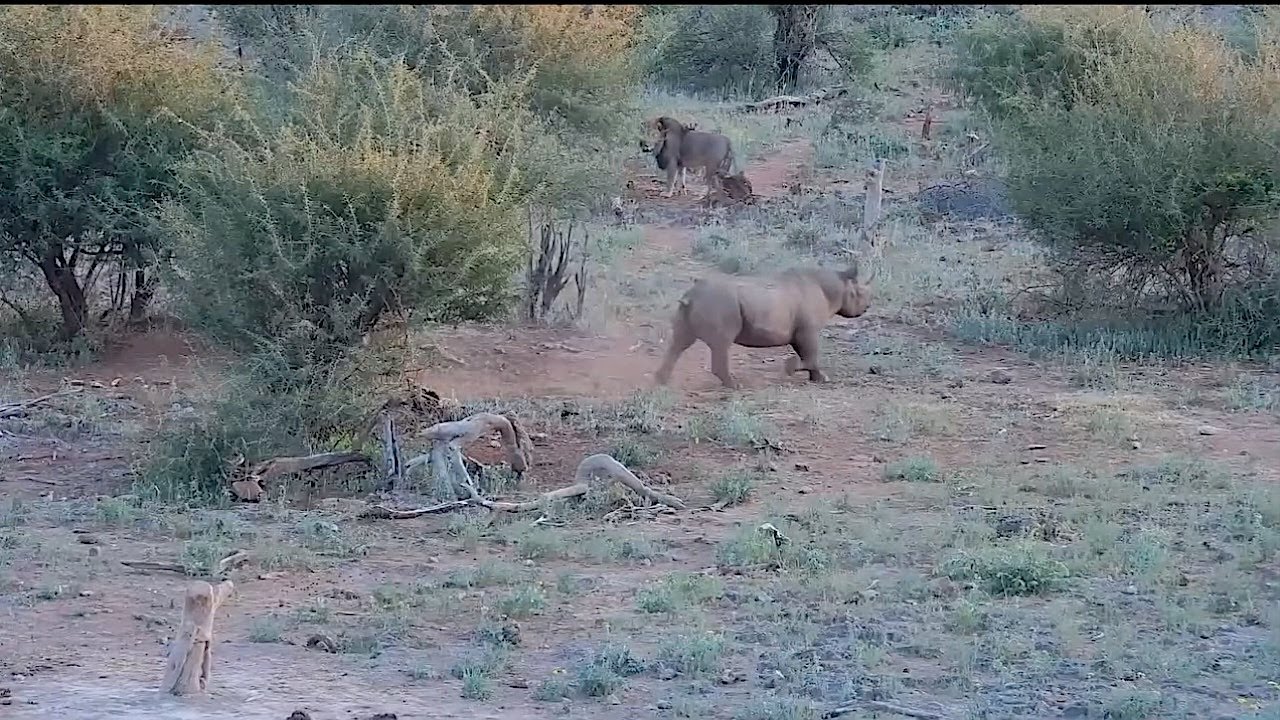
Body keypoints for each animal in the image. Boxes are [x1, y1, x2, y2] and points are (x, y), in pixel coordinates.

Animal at [654, 264, 874, 389]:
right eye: (860, 293)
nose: (867, 307)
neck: (836, 286)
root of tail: (691, 296)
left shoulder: (799, 331)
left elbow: (808, 356)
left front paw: (818, 379)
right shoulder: (808, 330)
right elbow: (811, 356)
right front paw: (791, 368)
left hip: (693, 308)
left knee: (680, 342)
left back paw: (661, 382)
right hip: (720, 305)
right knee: (721, 344)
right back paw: (735, 386)